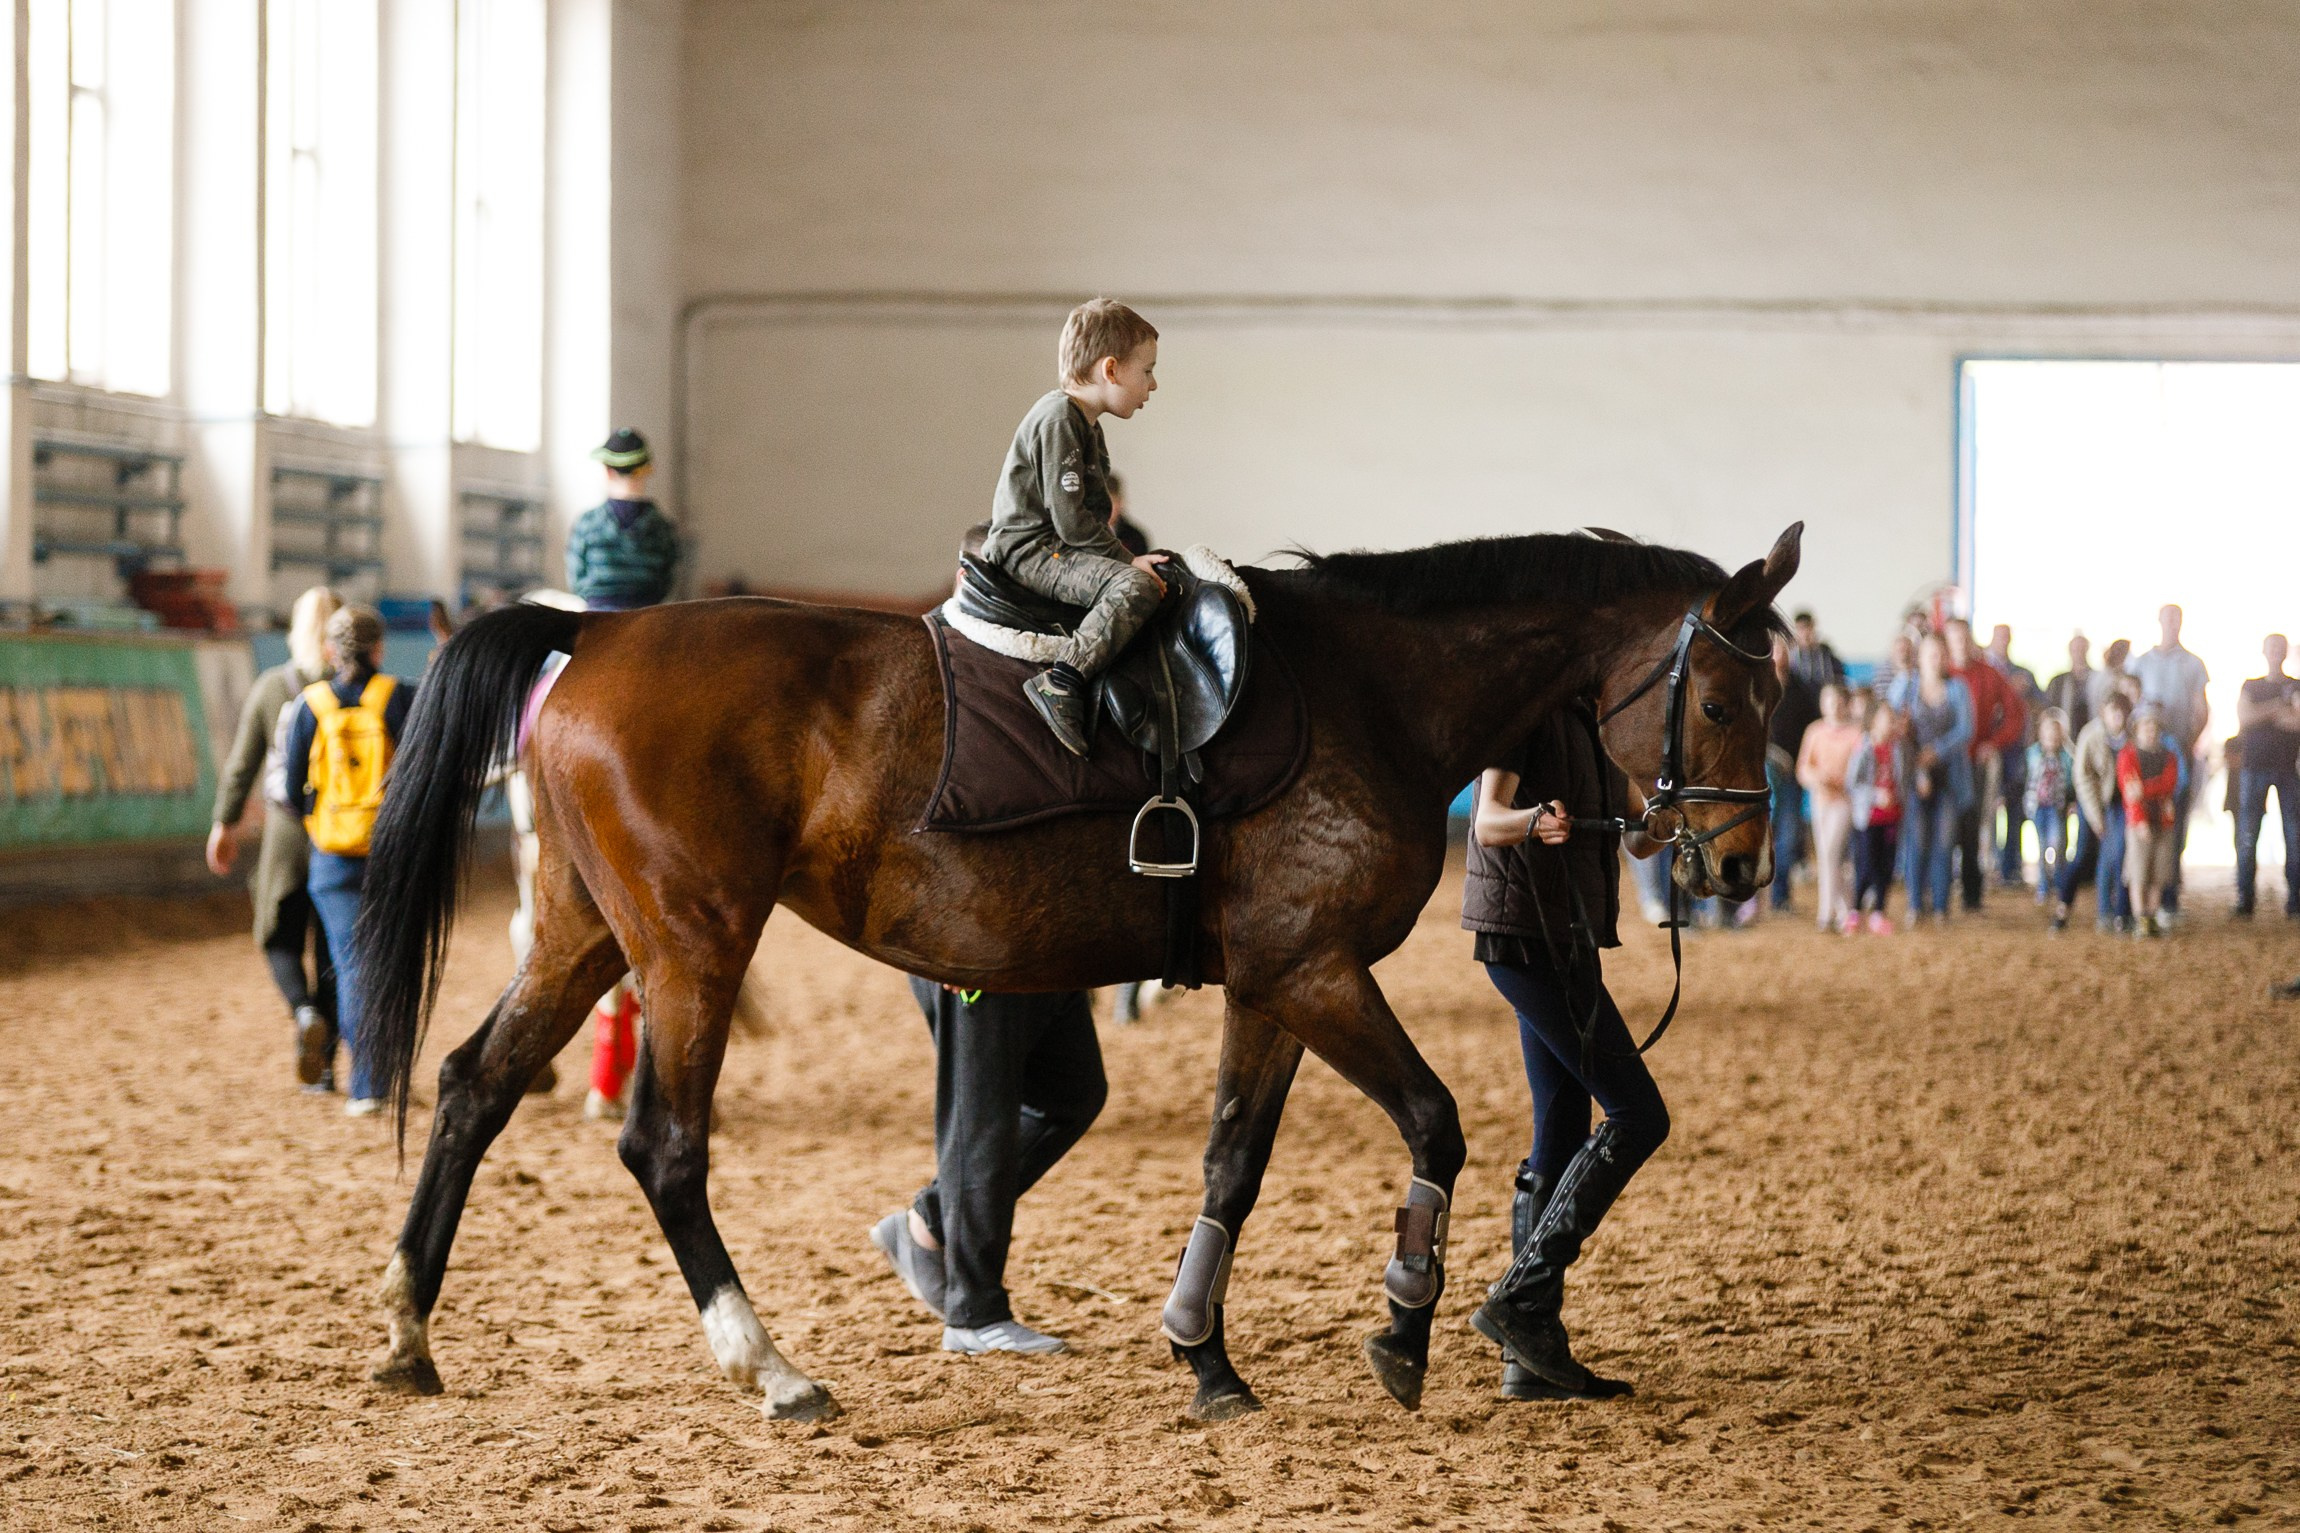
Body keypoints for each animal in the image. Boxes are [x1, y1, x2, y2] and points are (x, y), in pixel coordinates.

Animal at [353, 523, 1800, 1423]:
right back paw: (771, 1370)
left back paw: (410, 1336)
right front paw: (1399, 1330)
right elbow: (1435, 1122)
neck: (1370, 693)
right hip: (692, 942)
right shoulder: (1318, 970)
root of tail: (596, 637)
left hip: (583, 932)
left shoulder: (1273, 983)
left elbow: (1231, 1165)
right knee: (662, 1144)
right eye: (1728, 699)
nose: (1739, 865)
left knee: (473, 1086)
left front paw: (1204, 1356)